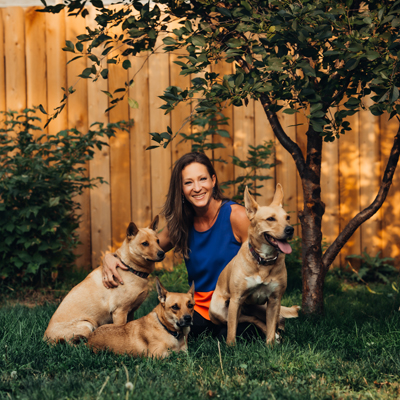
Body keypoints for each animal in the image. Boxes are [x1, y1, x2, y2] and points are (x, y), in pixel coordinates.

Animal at [42, 216, 164, 344]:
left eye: (158, 241)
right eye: (145, 243)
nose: (162, 253)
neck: (131, 268)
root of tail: (45, 338)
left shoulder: (130, 312)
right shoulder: (119, 312)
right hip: (86, 325)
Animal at [208, 184, 298, 344]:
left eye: (287, 217)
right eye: (270, 219)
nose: (290, 229)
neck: (263, 261)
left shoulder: (274, 301)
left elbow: (271, 328)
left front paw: (270, 345)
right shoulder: (236, 300)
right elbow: (231, 331)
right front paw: (230, 347)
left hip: (263, 308)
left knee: (276, 320)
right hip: (220, 311)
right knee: (248, 319)